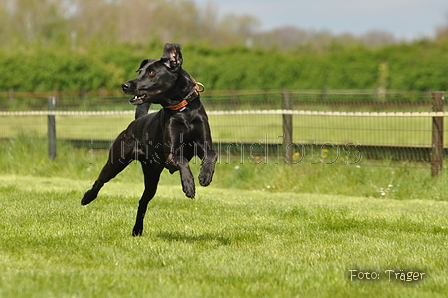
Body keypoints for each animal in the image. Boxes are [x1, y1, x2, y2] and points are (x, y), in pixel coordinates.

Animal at [83, 43, 219, 235]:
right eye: (140, 71)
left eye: (151, 73)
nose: (125, 85)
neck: (183, 111)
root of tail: (136, 122)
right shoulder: (171, 155)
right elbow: (182, 161)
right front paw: (189, 185)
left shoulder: (203, 145)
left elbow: (212, 155)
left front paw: (205, 176)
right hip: (116, 161)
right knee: (100, 180)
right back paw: (87, 197)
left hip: (152, 176)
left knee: (143, 201)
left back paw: (137, 230)